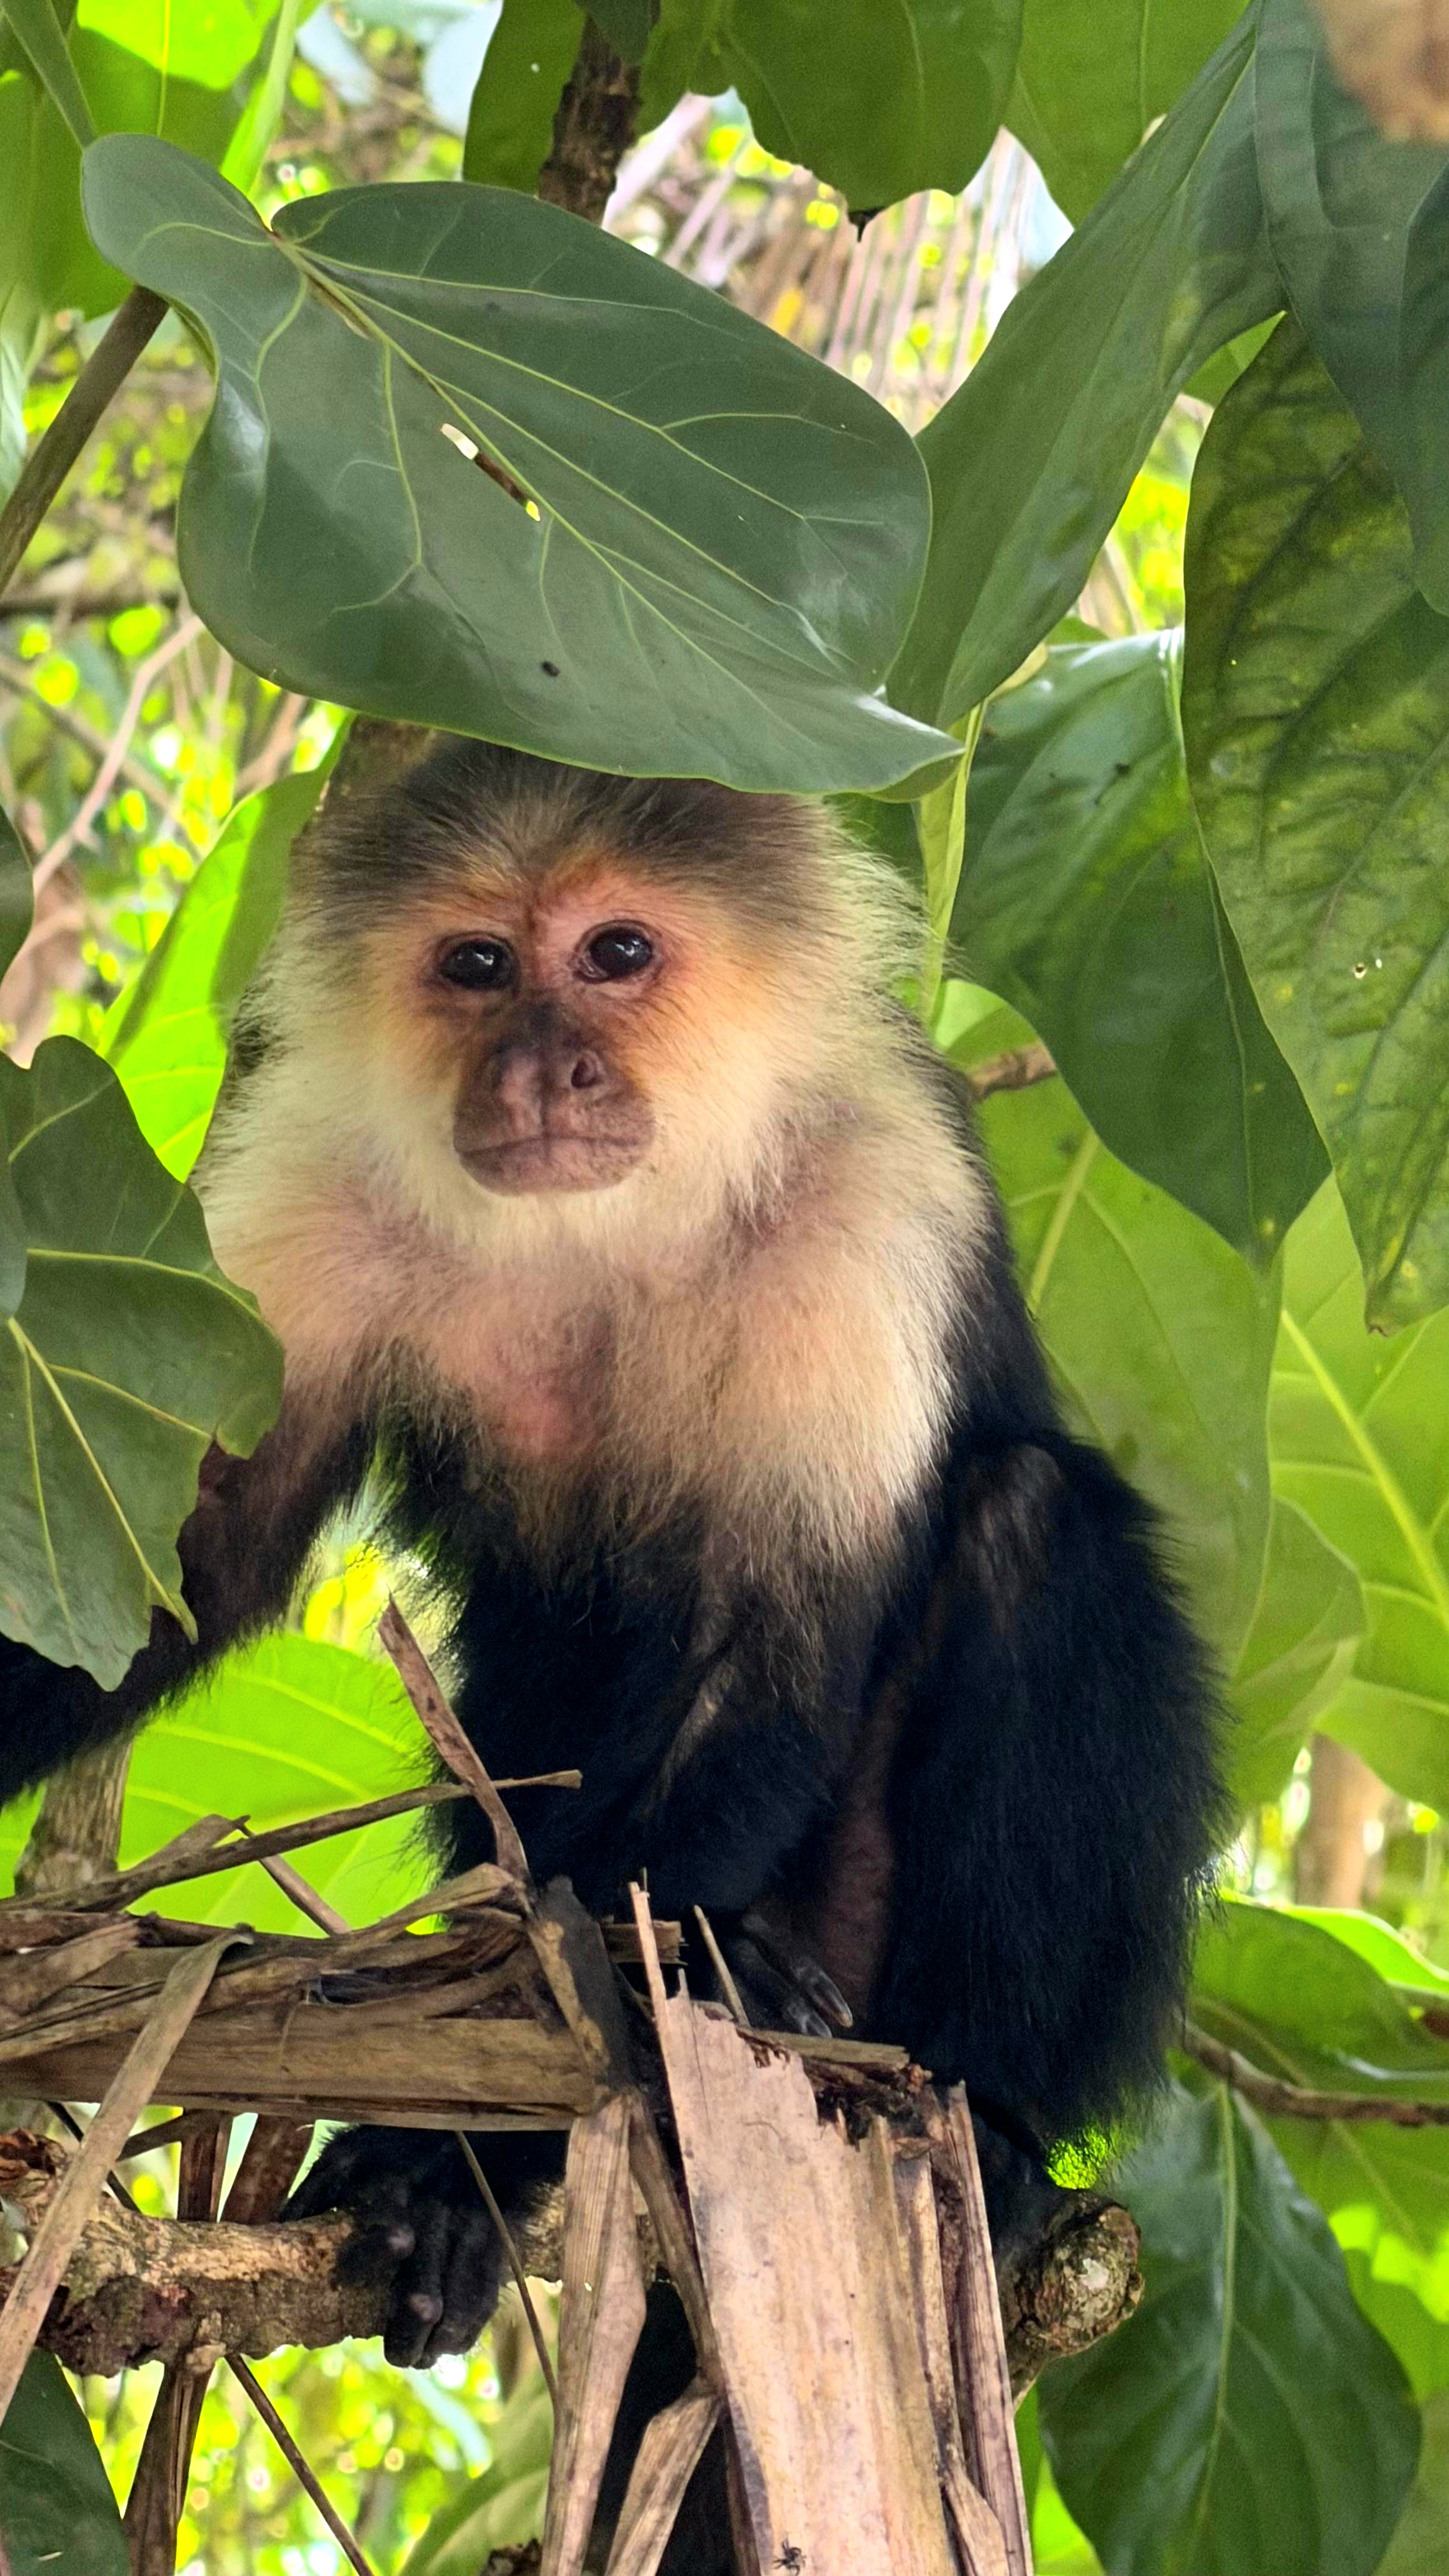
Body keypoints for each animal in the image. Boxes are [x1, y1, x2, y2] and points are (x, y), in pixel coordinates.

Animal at [0, 737, 1223, 2370]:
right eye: (477, 964)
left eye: (618, 954)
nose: (541, 1070)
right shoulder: (311, 1183)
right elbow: (177, 1562)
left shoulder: (865, 1200)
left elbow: (760, 1663)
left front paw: (457, 2152)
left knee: (1037, 1524)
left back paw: (977, 2120)